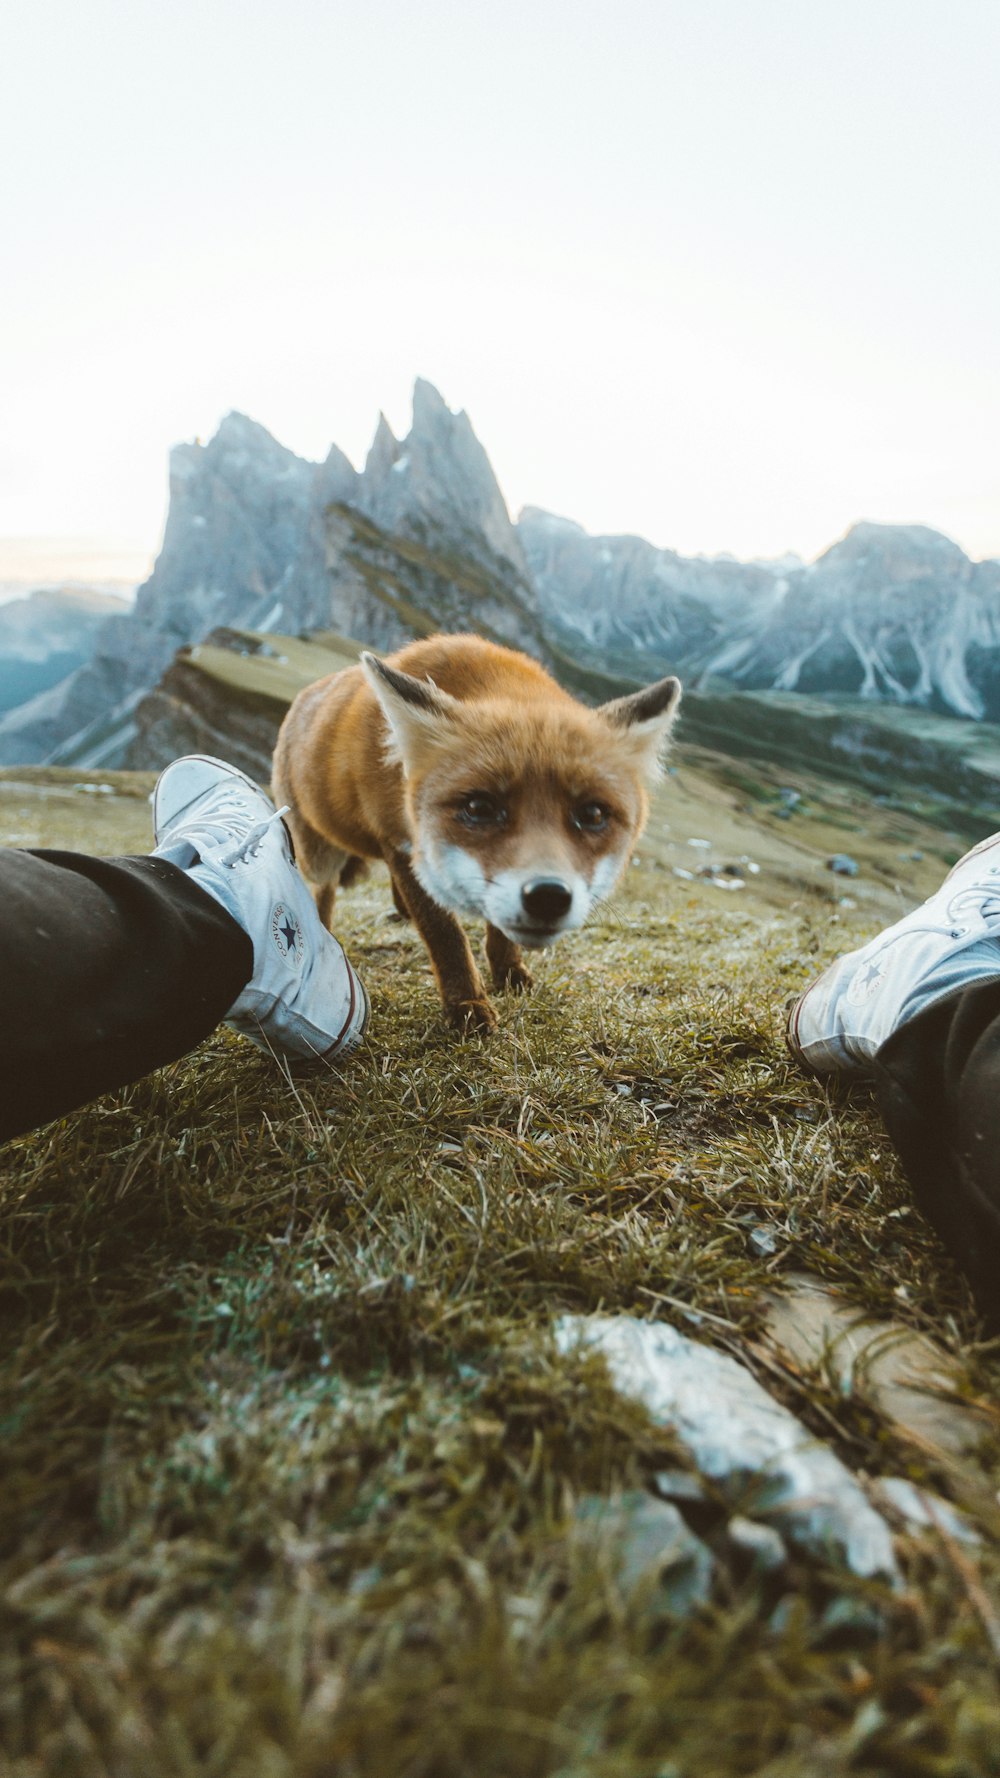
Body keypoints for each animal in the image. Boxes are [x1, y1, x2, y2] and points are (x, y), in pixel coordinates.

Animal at [270, 636, 676, 1031]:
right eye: (479, 808)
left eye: (592, 814)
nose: (548, 897)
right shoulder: (399, 841)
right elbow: (444, 933)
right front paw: (466, 1003)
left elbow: (496, 925)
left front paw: (508, 970)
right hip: (321, 852)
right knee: (324, 886)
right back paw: (324, 929)